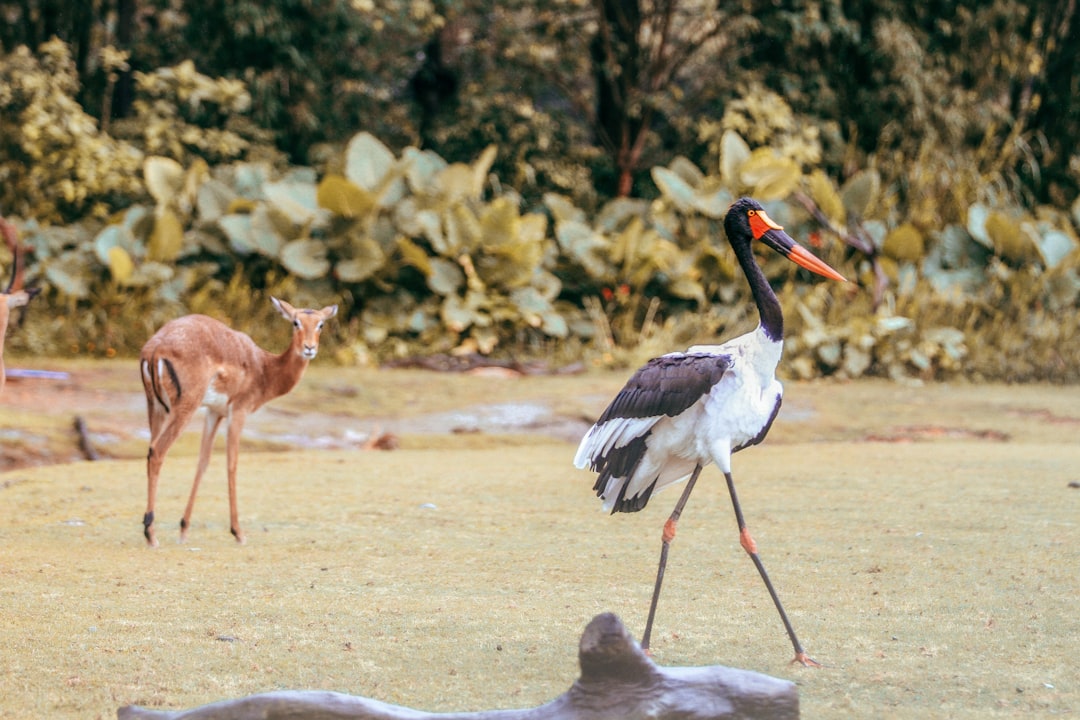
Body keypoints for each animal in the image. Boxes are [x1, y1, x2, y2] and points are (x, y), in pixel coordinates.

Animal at [139, 297, 334, 546]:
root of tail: (156, 347)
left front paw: (184, 530)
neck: (263, 367)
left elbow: (203, 462)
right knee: (158, 452)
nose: (309, 348)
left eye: (321, 324)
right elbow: (232, 464)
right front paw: (238, 532)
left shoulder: (214, 412)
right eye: (295, 322)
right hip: (184, 409)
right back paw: (151, 534)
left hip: (155, 408)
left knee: (150, 451)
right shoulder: (238, 412)